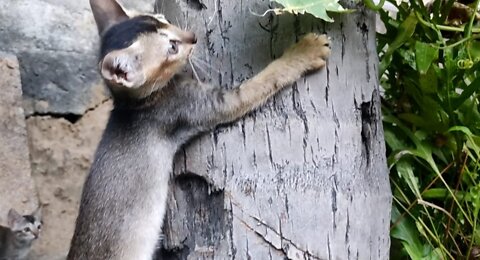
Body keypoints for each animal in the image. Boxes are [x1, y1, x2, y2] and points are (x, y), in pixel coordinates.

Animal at [66, 0, 330, 258]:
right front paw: (305, 51)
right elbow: (264, 80)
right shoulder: (204, 104)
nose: (193, 36)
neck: (136, 104)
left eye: (164, 20)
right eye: (172, 47)